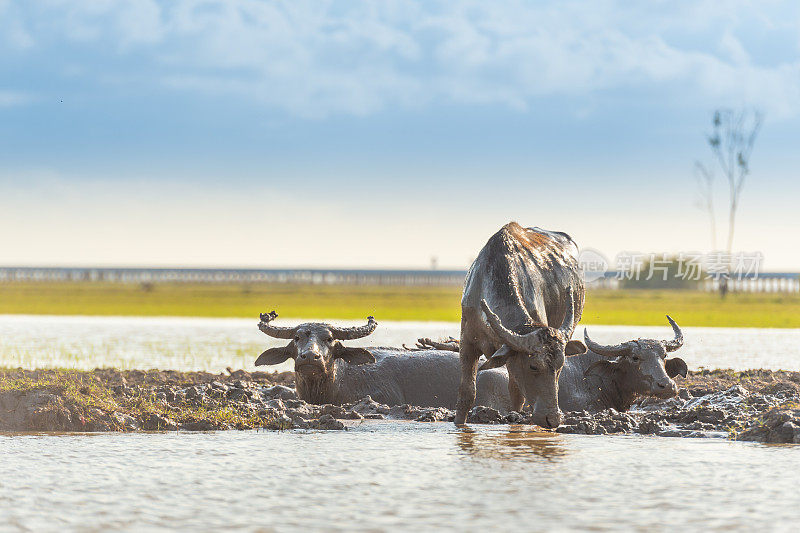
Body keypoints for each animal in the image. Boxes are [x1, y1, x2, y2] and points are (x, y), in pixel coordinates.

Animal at [456, 221, 588, 428]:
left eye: (560, 364)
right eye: (533, 366)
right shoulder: (467, 342)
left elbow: (517, 395)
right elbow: (467, 393)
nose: (553, 419)